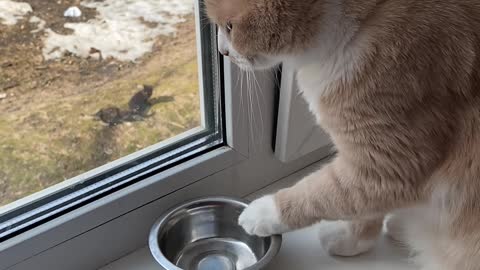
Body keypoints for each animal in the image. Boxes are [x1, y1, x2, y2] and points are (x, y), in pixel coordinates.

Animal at [207, 1, 480, 268]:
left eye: (229, 26)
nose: (222, 51)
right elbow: (363, 207)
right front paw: (353, 240)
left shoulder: (387, 164)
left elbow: (320, 193)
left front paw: (263, 212)